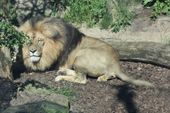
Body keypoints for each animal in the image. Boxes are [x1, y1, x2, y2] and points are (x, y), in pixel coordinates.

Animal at [18, 16, 154, 87]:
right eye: (28, 41)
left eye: (40, 40)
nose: (32, 51)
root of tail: (116, 64)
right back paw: (62, 72)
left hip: (82, 55)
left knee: (82, 79)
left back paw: (60, 77)